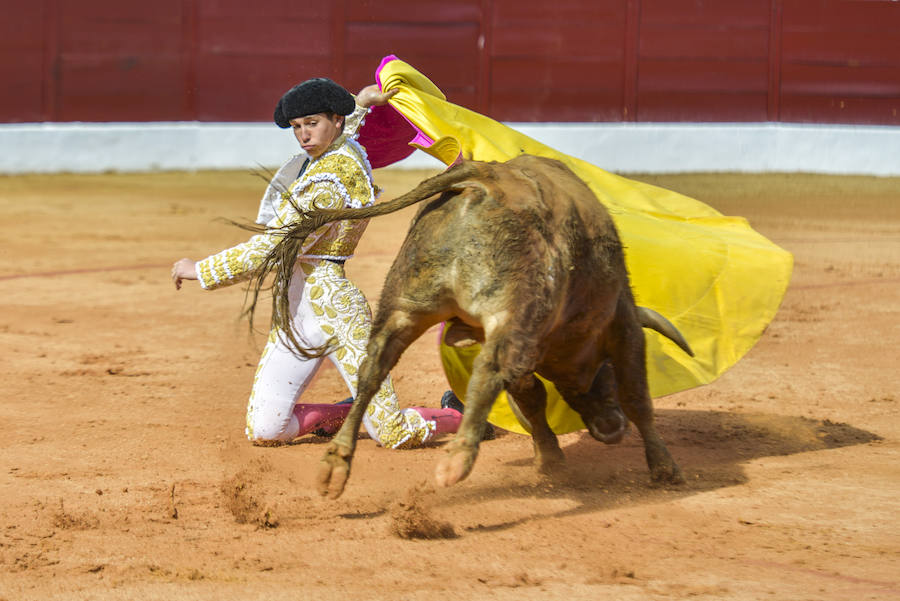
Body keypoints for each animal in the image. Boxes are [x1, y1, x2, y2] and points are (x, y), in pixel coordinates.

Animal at [256, 154, 692, 496]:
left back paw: (336, 464)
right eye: (604, 373)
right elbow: (636, 396)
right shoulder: (622, 325)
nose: (609, 429)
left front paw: (551, 461)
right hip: (511, 310)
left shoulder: (529, 344)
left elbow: (531, 400)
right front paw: (665, 468)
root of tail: (486, 177)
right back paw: (458, 460)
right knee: (488, 371)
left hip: (406, 304)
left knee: (372, 370)